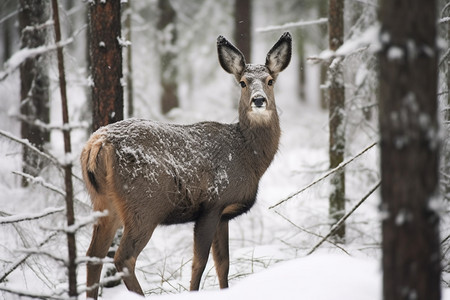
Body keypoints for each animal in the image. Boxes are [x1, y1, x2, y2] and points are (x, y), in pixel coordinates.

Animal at [81, 31, 292, 298]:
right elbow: (199, 263)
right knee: (123, 258)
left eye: (270, 81)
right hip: (144, 204)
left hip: (104, 203)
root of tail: (97, 145)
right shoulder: (212, 204)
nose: (258, 100)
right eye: (243, 82)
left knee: (92, 255)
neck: (248, 155)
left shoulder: (224, 215)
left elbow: (223, 264)